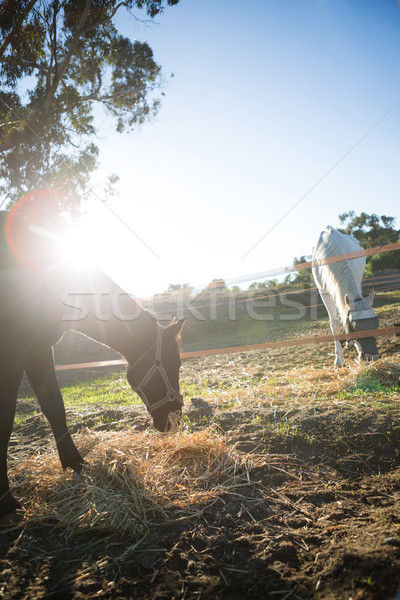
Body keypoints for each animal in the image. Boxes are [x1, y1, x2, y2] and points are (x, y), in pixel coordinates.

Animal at [0, 210, 184, 520]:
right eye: (175, 365)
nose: (176, 415)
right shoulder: (12, 355)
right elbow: (5, 421)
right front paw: (6, 501)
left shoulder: (39, 350)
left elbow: (54, 406)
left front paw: (77, 463)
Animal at [312, 226, 378, 364]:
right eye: (356, 327)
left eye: (376, 324)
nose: (372, 357)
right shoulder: (323, 292)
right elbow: (335, 323)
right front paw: (339, 359)